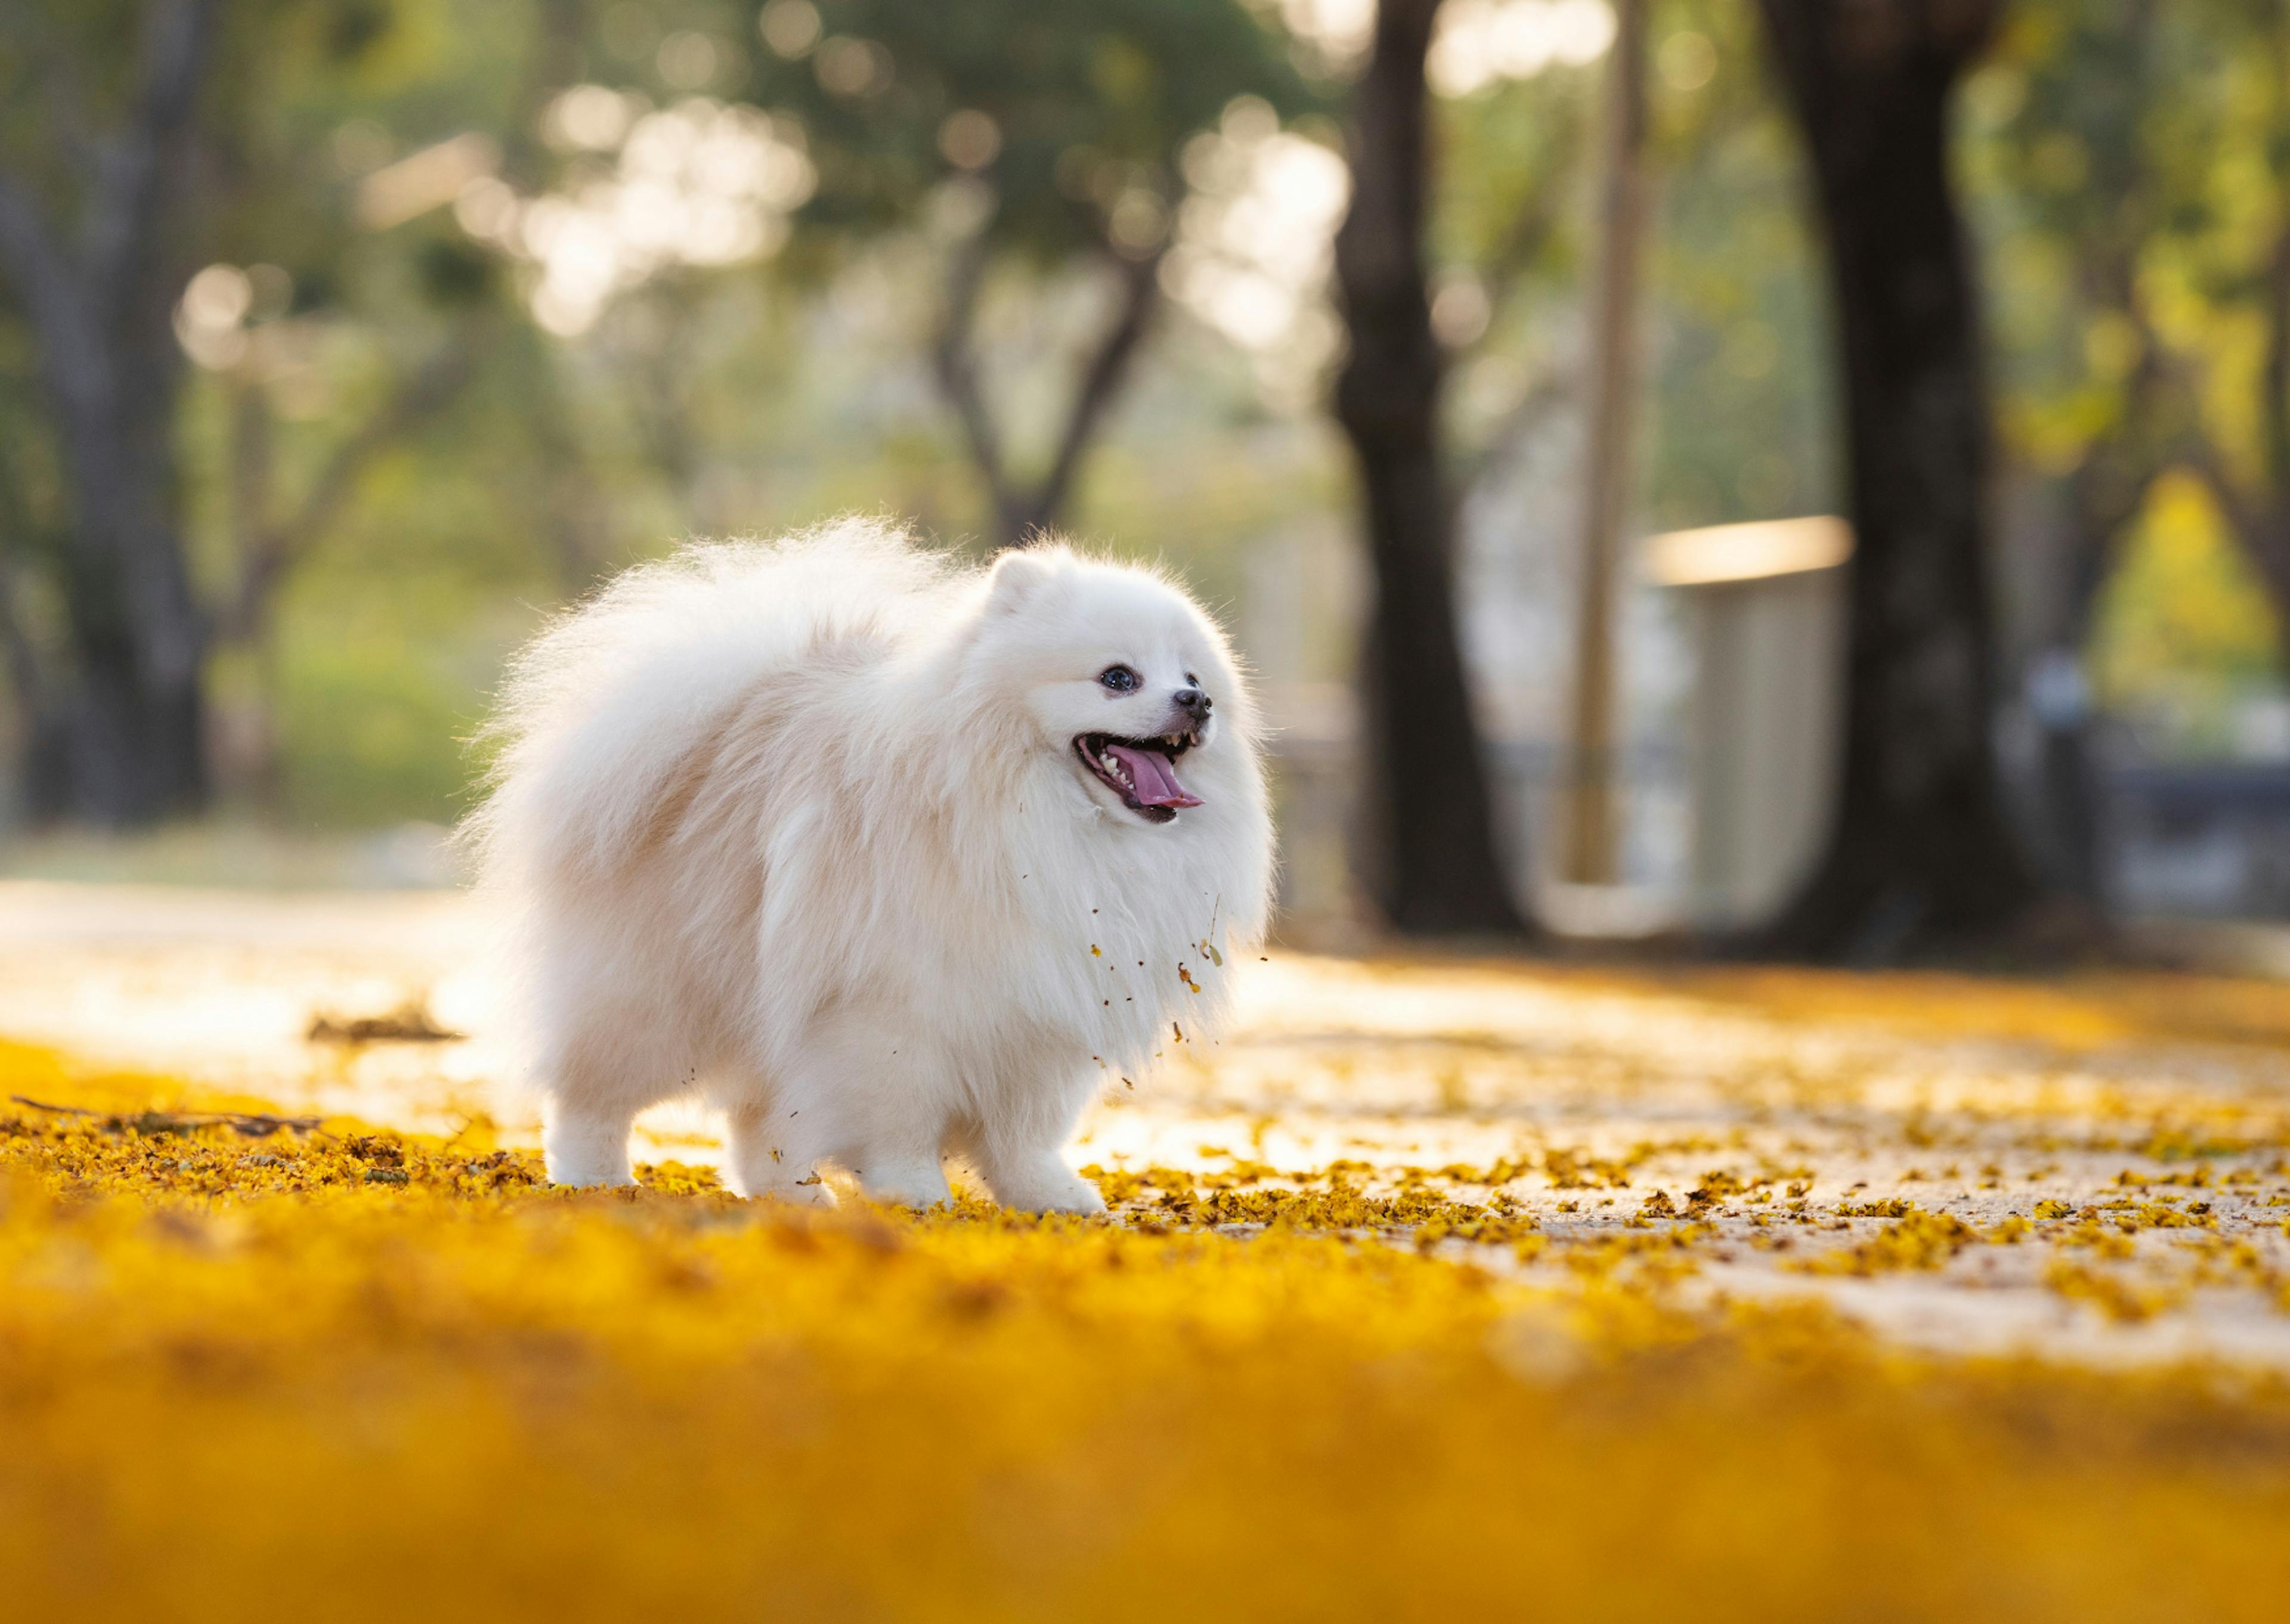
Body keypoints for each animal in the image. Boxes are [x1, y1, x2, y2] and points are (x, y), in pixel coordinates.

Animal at [462, 513, 1273, 1209]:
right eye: (1118, 678)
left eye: (1194, 677)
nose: (1195, 703)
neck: (1042, 825)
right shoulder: (894, 1011)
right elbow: (900, 1118)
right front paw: (913, 1190)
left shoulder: (1042, 1012)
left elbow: (1023, 1131)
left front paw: (1048, 1195)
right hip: (661, 998)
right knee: (591, 1096)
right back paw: (594, 1180)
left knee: (758, 1120)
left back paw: (792, 1198)